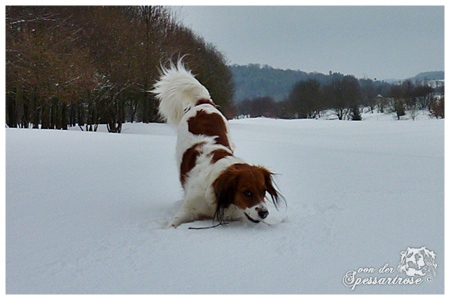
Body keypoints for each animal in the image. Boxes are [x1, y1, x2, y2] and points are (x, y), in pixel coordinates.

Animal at [153, 61, 284, 227]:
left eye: (263, 191)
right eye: (247, 192)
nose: (264, 213)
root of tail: (204, 103)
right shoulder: (187, 210)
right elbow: (173, 224)